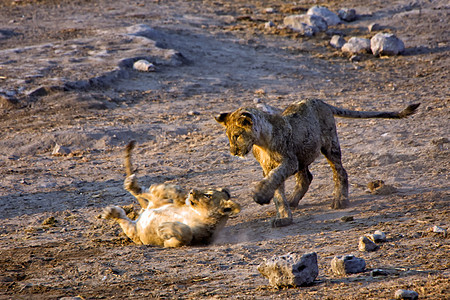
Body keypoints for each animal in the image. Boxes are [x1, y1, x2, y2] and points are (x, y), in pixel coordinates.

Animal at [102, 142, 241, 247]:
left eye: (208, 196)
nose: (191, 191)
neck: (194, 213)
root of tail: (145, 210)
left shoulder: (191, 240)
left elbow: (187, 234)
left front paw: (165, 227)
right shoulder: (179, 203)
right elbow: (178, 194)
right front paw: (176, 192)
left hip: (136, 233)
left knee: (123, 219)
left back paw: (110, 211)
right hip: (158, 203)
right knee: (146, 193)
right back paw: (134, 184)